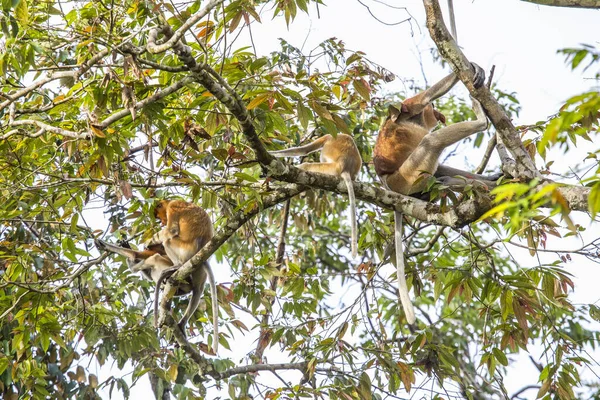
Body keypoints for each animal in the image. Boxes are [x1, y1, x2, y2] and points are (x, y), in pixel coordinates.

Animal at [372, 63, 490, 324]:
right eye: (431, 108)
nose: (437, 113)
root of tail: (386, 183)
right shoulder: (408, 107)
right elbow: (426, 95)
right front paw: (473, 69)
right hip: (408, 176)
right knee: (430, 141)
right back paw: (481, 121)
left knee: (440, 168)